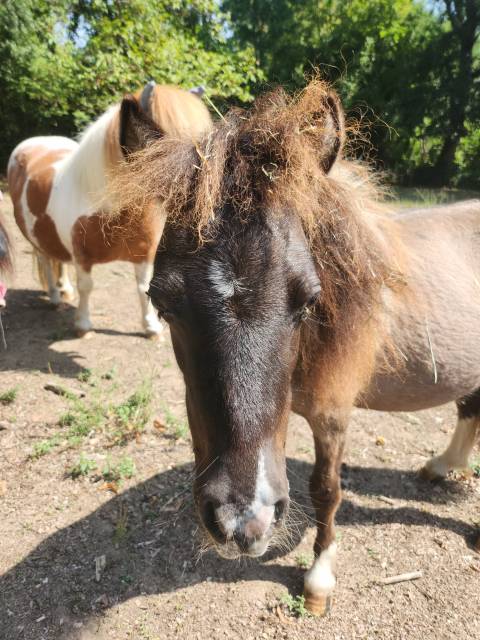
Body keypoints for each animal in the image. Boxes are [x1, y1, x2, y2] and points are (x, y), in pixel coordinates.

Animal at [6, 82, 212, 337]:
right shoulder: (82, 256)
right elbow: (86, 286)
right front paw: (83, 325)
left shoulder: (144, 255)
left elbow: (142, 288)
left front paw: (150, 327)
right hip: (35, 238)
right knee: (46, 262)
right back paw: (54, 296)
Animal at [113, 79, 480, 614]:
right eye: (162, 302)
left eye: (308, 298)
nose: (244, 521)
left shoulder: (333, 414)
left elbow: (325, 490)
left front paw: (319, 578)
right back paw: (444, 466)